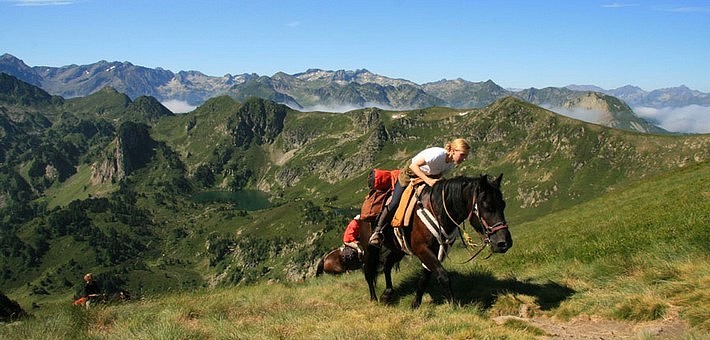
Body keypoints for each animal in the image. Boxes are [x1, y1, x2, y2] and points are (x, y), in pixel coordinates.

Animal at [368, 174, 512, 310]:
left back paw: (387, 294)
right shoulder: (422, 249)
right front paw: (453, 305)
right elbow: (443, 275)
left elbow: (425, 278)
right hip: (370, 250)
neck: (437, 209)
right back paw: (374, 299)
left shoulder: (438, 249)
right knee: (369, 273)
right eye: (486, 206)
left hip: (398, 250)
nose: (504, 243)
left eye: (503, 205)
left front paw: (415, 304)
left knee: (387, 265)